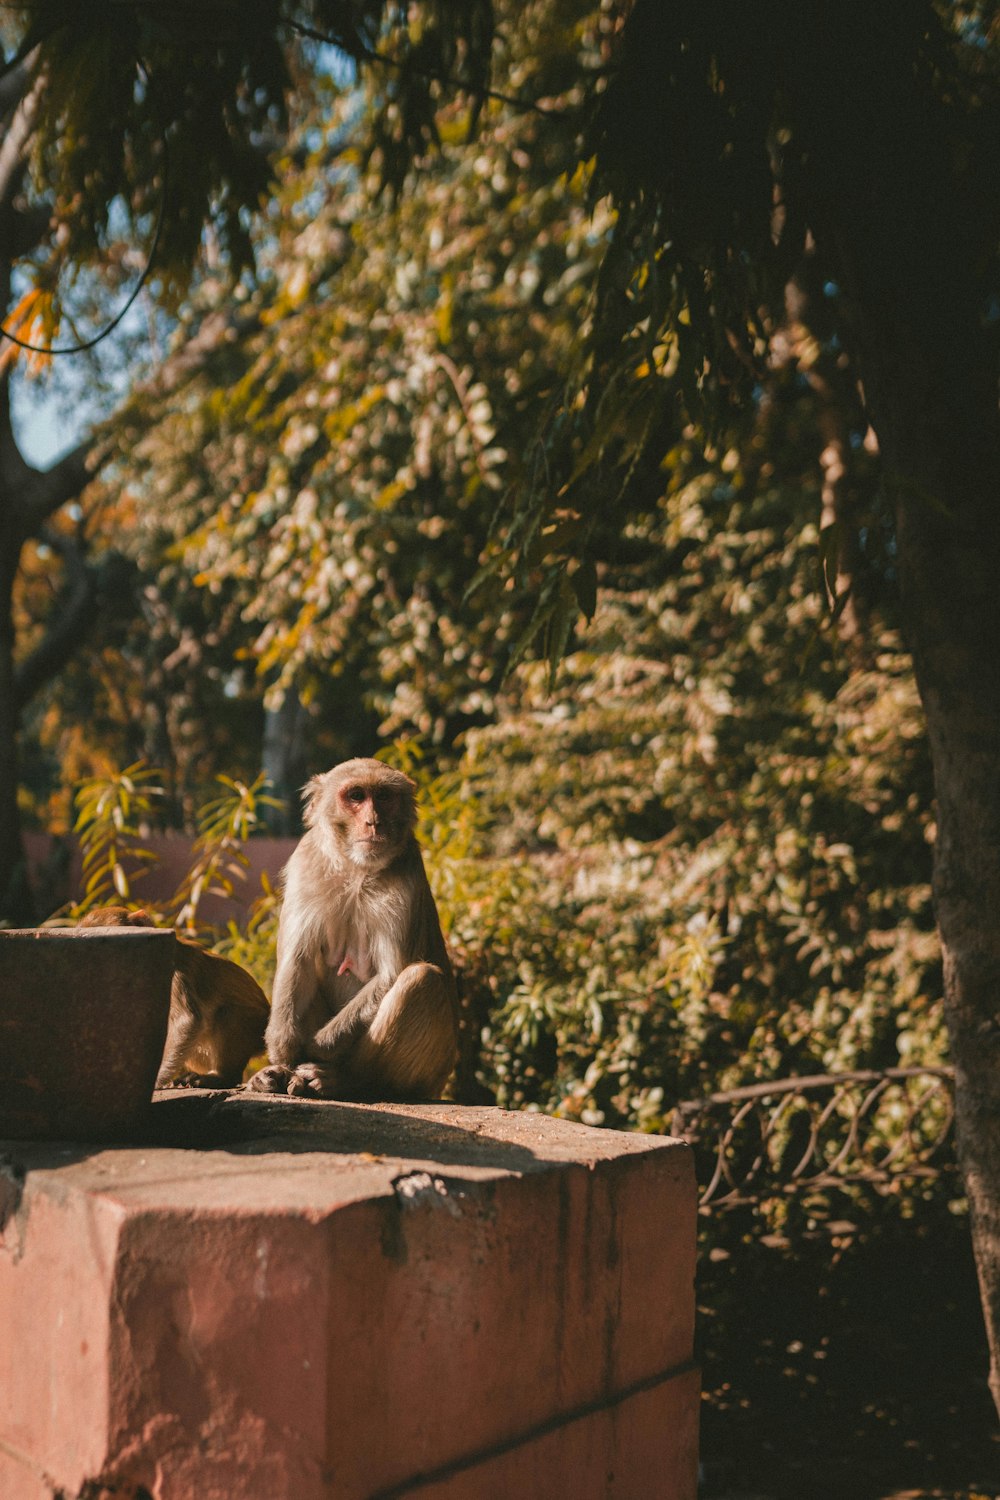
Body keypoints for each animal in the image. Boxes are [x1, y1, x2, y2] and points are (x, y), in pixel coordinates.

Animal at [79, 900, 269, 1092]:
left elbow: (186, 1020)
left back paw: (223, 1077)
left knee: (227, 1014)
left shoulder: (174, 973)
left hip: (253, 1028)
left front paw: (154, 1080)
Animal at [248, 762, 458, 1104]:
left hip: (433, 1071)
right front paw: (282, 1053)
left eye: (384, 797)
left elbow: (390, 973)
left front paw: (318, 1047)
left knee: (422, 979)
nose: (374, 821)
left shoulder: (406, 875)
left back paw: (348, 1082)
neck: (355, 868)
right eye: (357, 796)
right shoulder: (306, 861)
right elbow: (297, 959)